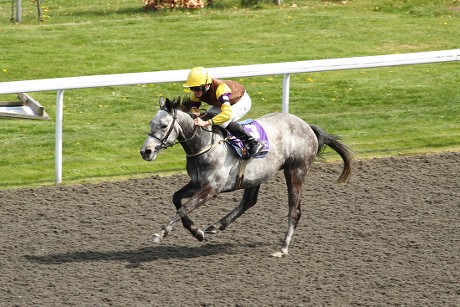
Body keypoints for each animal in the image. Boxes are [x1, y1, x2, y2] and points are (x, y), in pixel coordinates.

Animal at [140, 97, 352, 258]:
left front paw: (161, 233)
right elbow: (176, 198)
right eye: (151, 123)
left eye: (164, 125)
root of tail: (306, 125)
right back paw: (217, 225)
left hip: (295, 170)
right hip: (255, 176)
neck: (204, 144)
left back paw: (283, 248)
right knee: (249, 201)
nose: (145, 151)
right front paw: (196, 231)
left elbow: (184, 207)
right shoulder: (197, 182)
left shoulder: (212, 188)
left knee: (294, 210)